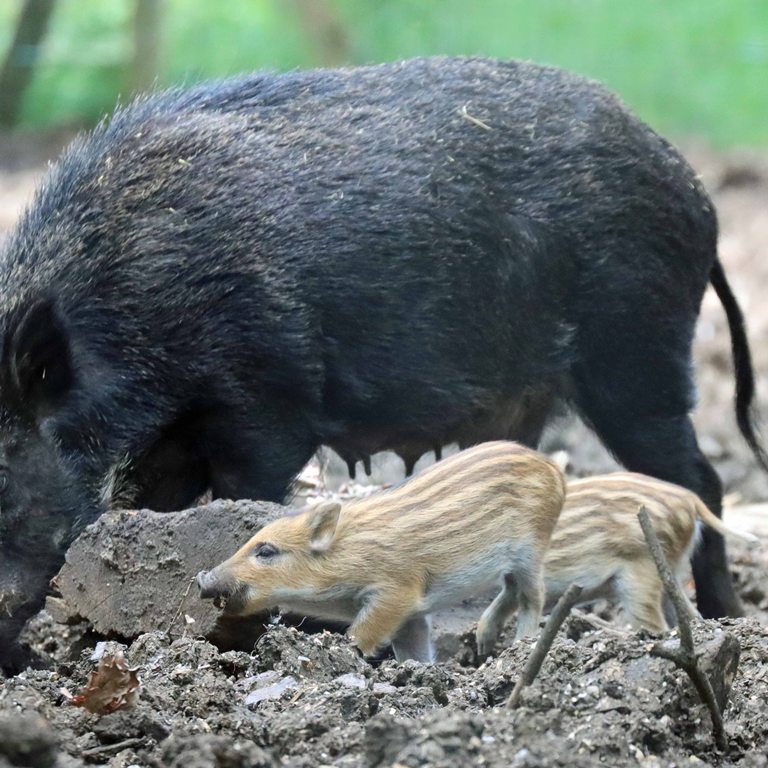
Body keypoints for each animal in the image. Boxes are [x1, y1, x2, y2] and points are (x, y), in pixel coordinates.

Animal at [197, 442, 566, 662]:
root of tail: (554, 469)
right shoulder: (412, 614)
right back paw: (485, 641)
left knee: (533, 595)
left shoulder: (396, 592)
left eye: (266, 551)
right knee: (511, 590)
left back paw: (522, 645)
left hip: (532, 548)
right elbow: (415, 649)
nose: (203, 578)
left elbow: (361, 635)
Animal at [477, 472, 759, 648]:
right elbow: (501, 604)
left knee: (656, 624)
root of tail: (689, 500)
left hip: (640, 577)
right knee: (688, 614)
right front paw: (484, 645)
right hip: (669, 571)